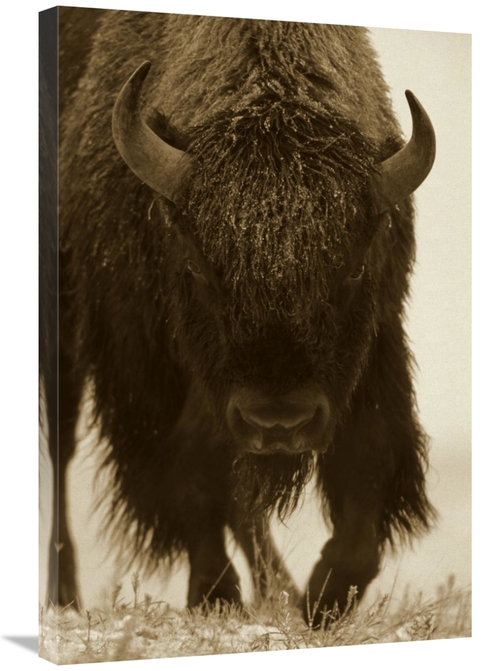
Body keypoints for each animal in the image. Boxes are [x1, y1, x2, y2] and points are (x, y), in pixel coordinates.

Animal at [41, 9, 436, 626]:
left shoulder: (375, 348)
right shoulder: (143, 366)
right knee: (62, 447)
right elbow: (189, 472)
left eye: (353, 267)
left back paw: (280, 590)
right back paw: (65, 597)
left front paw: (322, 597)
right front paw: (214, 594)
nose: (278, 424)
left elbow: (368, 461)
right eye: (197, 264)